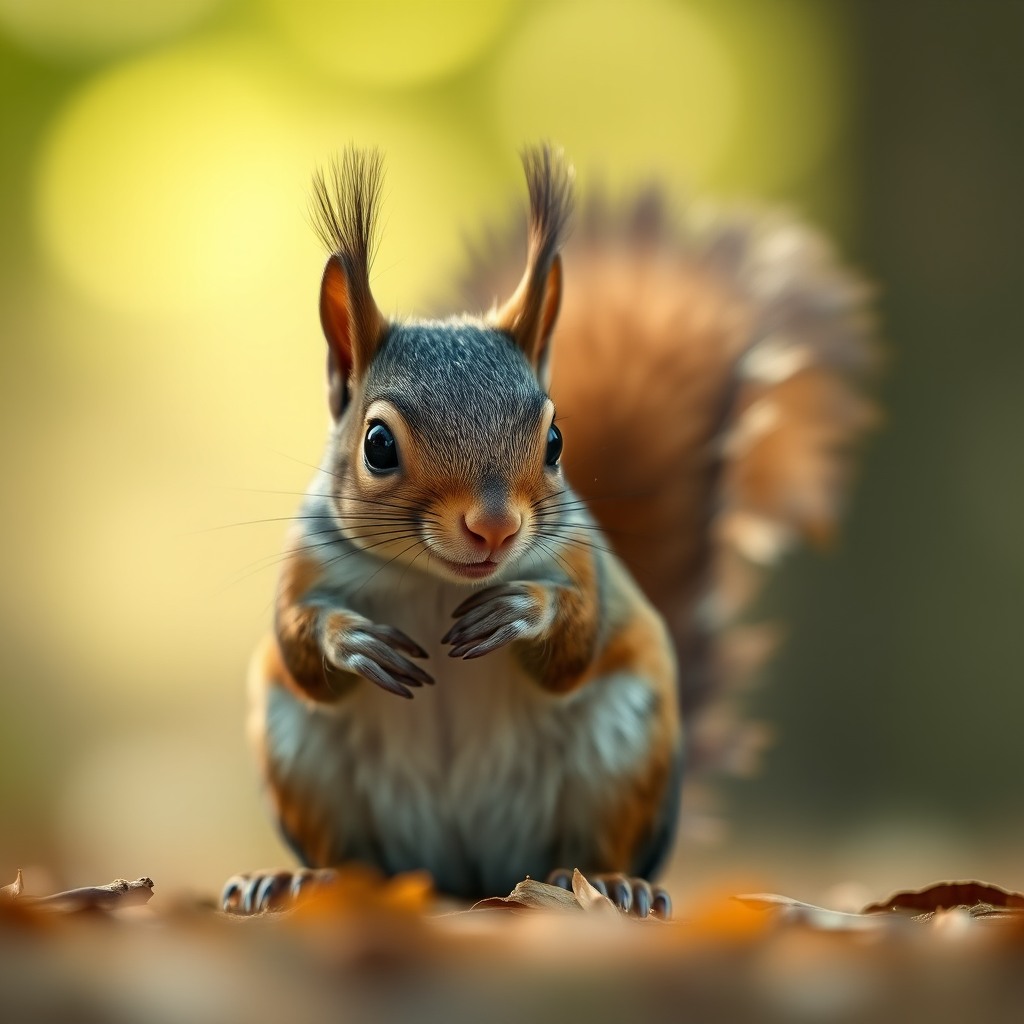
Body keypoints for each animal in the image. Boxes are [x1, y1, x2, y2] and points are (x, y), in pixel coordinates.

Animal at [224, 145, 874, 918]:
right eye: (377, 444)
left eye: (557, 441)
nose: (495, 528)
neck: (435, 582)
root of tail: (463, 876)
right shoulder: (308, 562)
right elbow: (300, 648)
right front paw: (350, 640)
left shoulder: (580, 562)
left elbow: (575, 645)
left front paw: (522, 610)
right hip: (300, 752)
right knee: (356, 856)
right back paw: (301, 879)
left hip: (623, 745)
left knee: (592, 850)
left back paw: (612, 885)